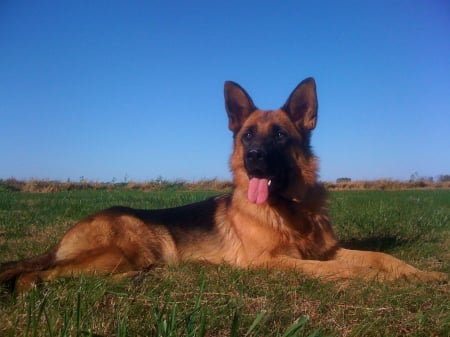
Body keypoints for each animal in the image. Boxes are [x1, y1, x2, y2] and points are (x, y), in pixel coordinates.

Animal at [0, 77, 446, 292]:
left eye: (280, 135)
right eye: (247, 135)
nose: (254, 158)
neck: (290, 209)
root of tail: (64, 237)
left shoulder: (327, 251)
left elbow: (379, 257)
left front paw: (420, 275)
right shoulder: (272, 262)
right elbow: (343, 271)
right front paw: (381, 281)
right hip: (122, 250)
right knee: (32, 278)